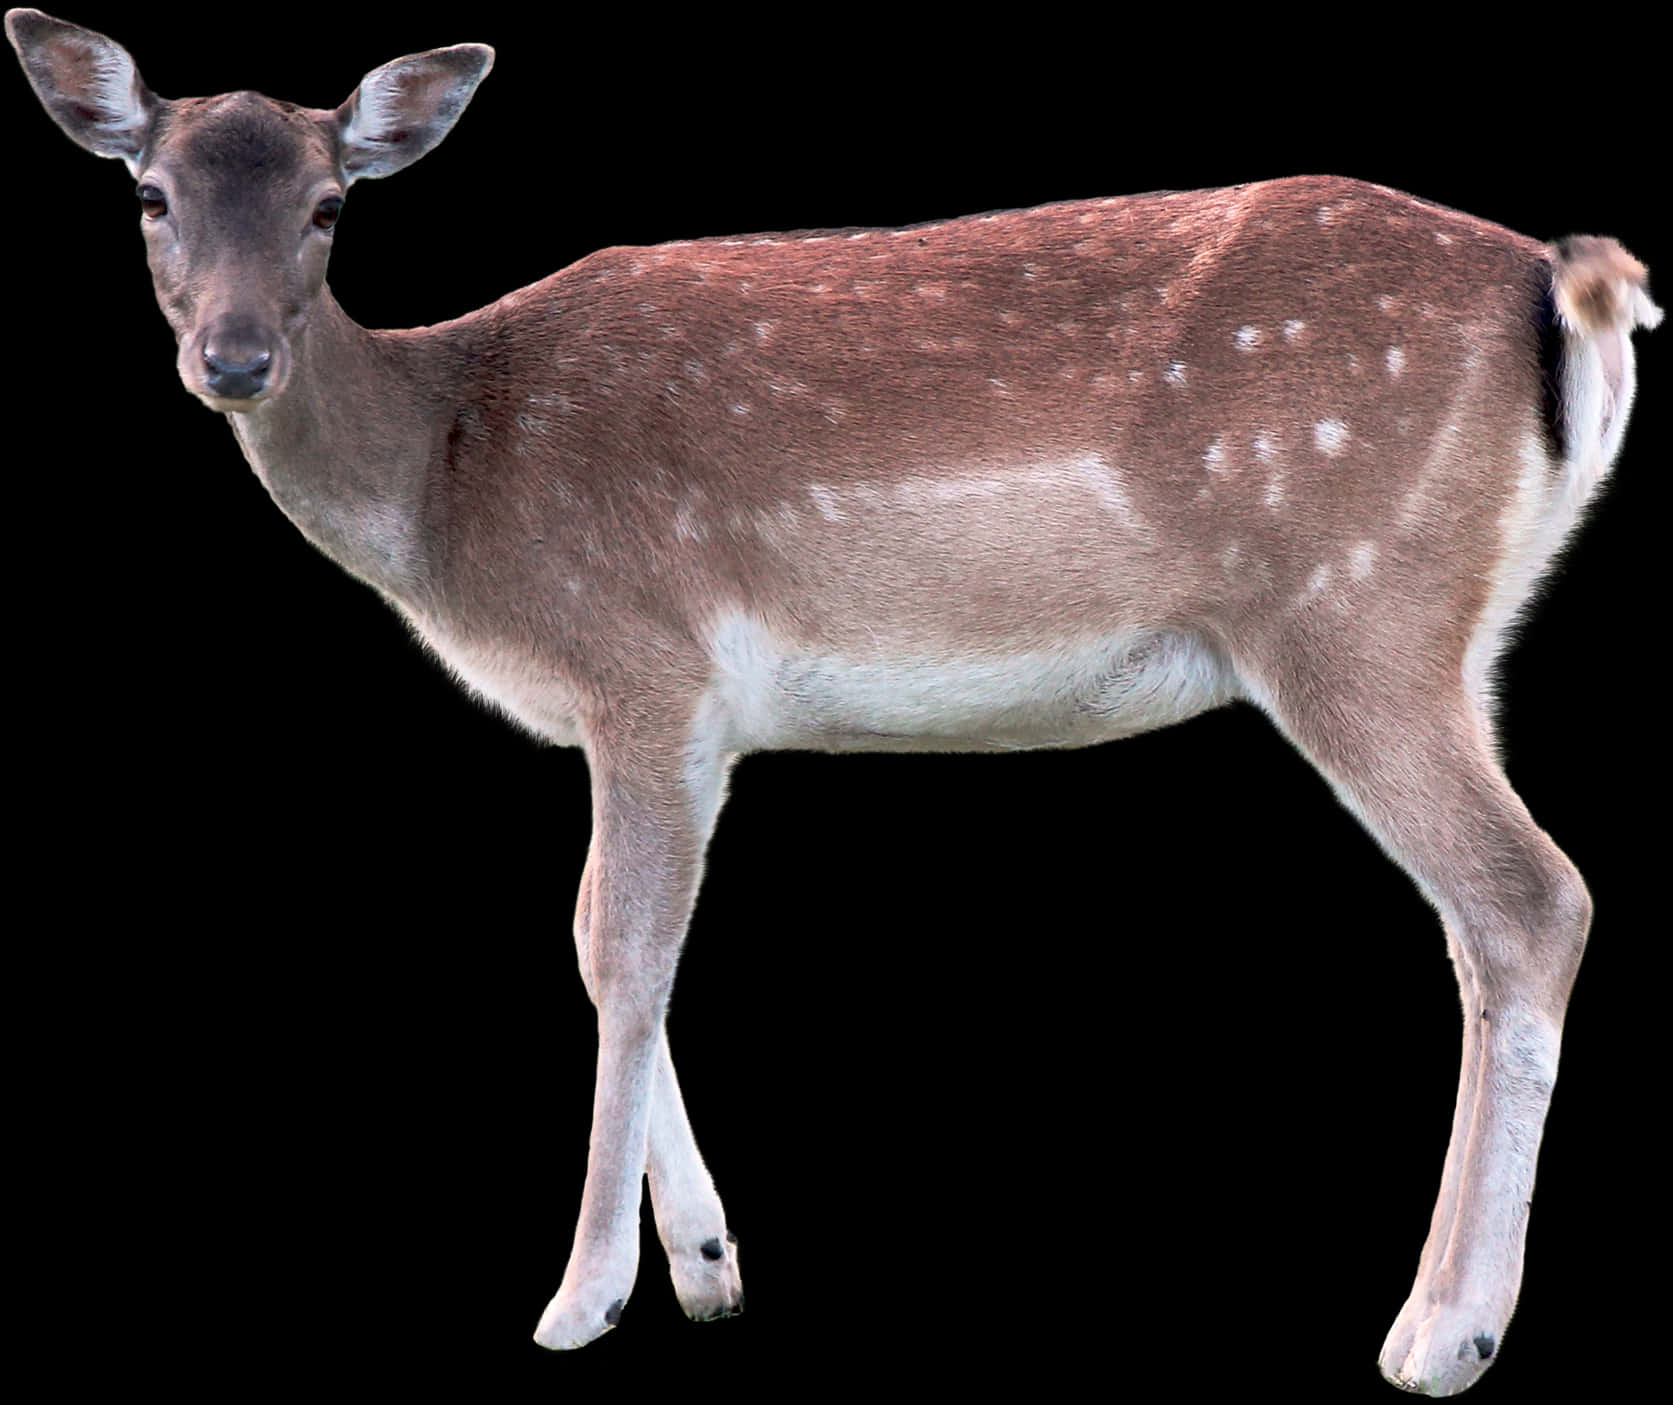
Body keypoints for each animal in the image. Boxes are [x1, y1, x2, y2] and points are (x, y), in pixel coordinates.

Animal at [6, 8, 1659, 1394]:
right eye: (149, 195)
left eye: (329, 205)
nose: (234, 357)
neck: (449, 476)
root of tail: (1567, 289)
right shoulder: (663, 717)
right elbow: (597, 943)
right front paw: (707, 1265)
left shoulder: (645, 662)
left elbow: (629, 943)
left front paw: (583, 1299)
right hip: (1448, 631)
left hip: (1349, 607)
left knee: (1526, 897)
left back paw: (1441, 1333)